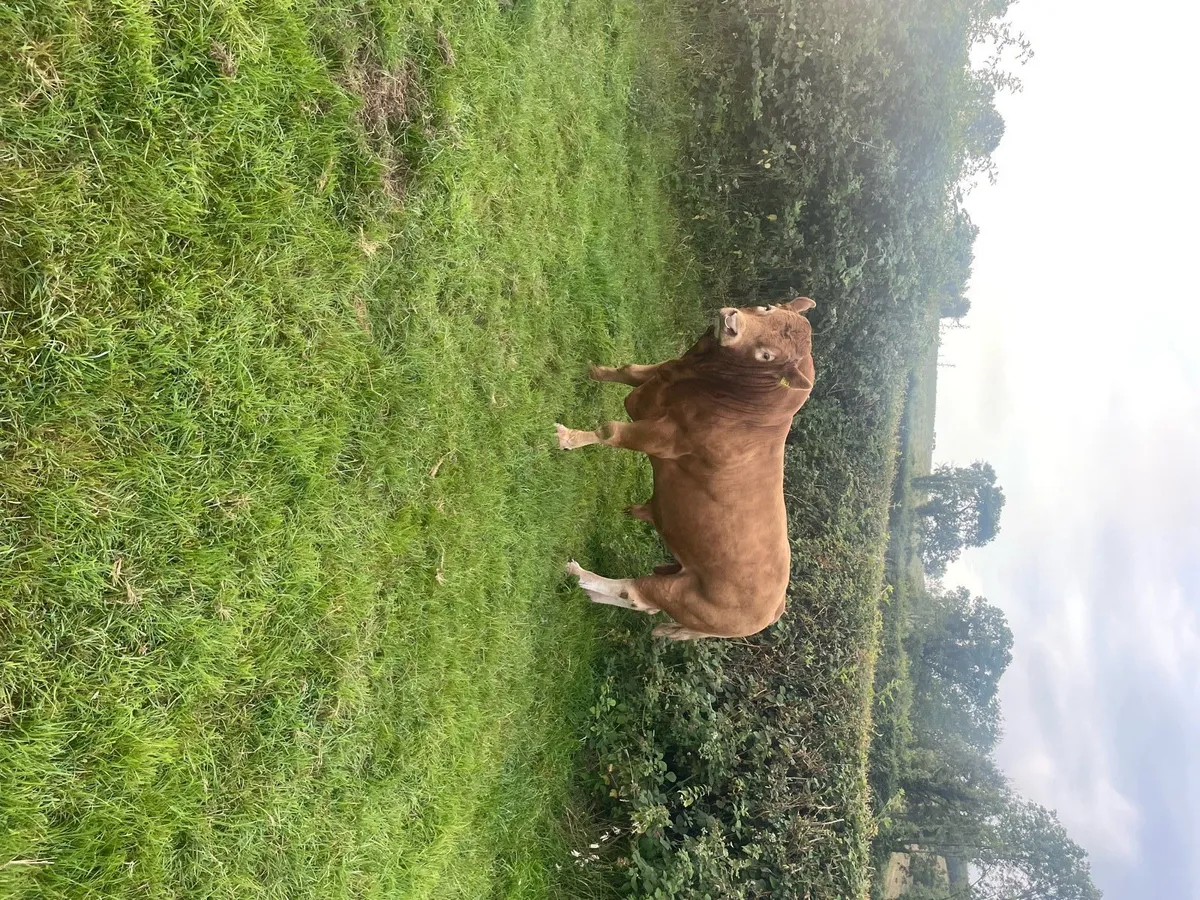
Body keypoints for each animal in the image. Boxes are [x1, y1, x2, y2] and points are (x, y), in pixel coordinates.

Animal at [555, 296, 817, 640]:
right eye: (767, 309)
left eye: (767, 356)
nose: (731, 321)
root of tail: (774, 610)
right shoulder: (659, 374)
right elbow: (627, 370)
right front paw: (591, 369)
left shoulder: (664, 438)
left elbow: (610, 432)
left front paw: (568, 438)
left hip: (683, 596)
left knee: (636, 594)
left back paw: (578, 574)